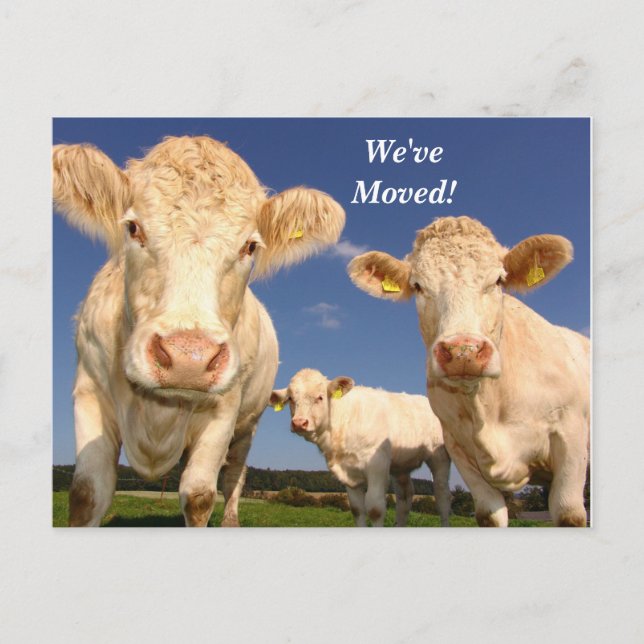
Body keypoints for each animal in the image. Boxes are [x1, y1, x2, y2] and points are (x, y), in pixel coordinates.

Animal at [53, 136, 345, 527]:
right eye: (133, 228)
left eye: (250, 246)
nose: (187, 359)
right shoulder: (89, 392)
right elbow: (87, 493)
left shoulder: (225, 410)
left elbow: (199, 496)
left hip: (247, 426)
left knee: (234, 476)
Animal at [269, 368, 452, 527]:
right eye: (290, 399)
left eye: (320, 397)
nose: (299, 423)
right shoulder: (349, 474)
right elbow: (357, 510)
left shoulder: (377, 465)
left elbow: (375, 509)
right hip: (401, 465)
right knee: (405, 498)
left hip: (439, 456)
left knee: (442, 496)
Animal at [348, 216, 589, 527]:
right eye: (418, 286)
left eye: (498, 280)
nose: (464, 351)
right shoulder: (460, 449)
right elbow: (489, 515)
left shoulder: (571, 437)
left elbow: (569, 513)